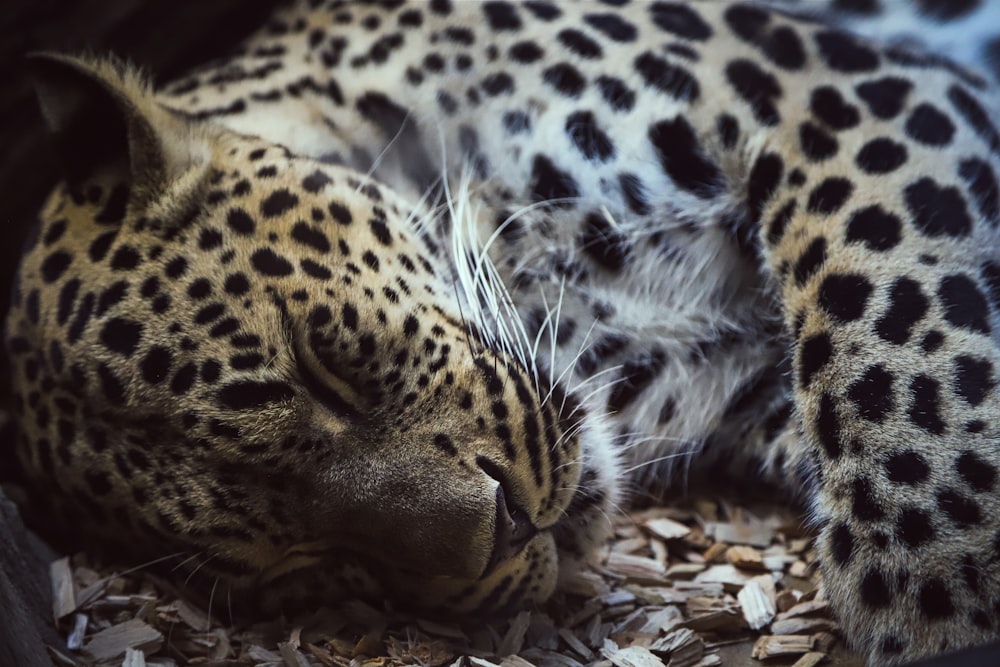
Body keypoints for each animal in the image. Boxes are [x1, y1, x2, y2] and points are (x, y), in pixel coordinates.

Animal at [7, 0, 1000, 664]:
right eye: (303, 563)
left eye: (322, 366)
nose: (506, 530)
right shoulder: (754, 387)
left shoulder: (830, 99)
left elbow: (898, 347)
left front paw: (942, 609)